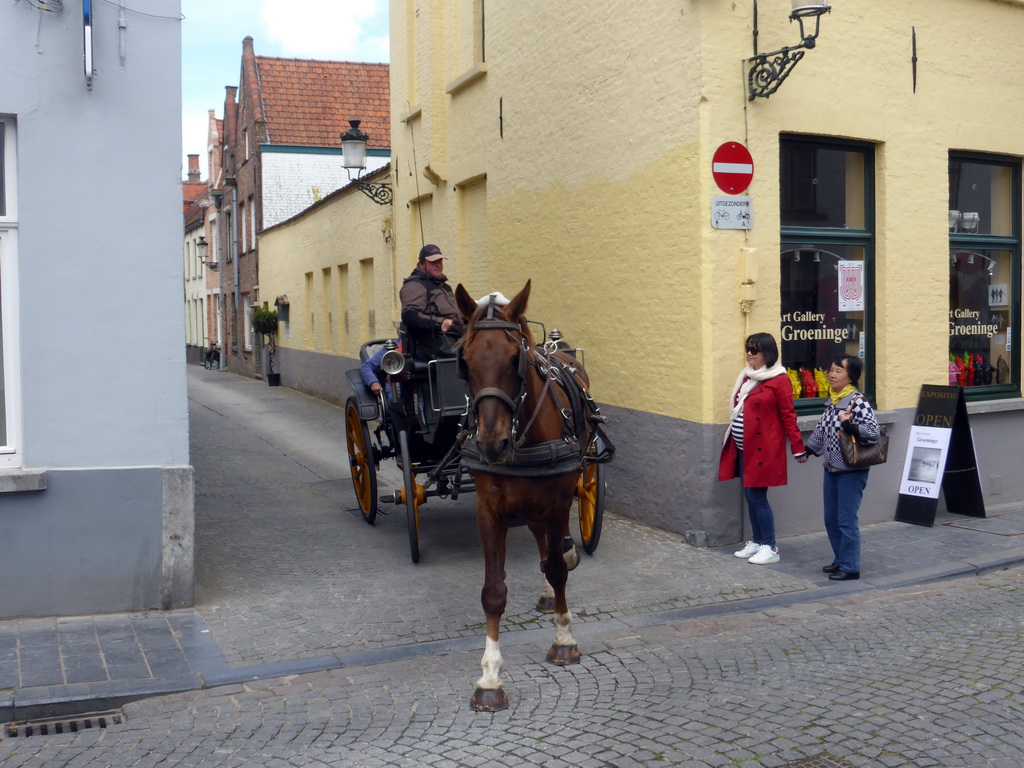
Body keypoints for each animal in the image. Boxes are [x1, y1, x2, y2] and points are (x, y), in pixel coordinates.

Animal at [456, 280, 606, 716]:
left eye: (514, 359)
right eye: (464, 359)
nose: (491, 443)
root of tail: (557, 348)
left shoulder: (556, 501)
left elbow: (557, 568)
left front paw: (564, 640)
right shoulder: (488, 510)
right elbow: (493, 593)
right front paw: (490, 677)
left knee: (553, 553)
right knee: (541, 543)